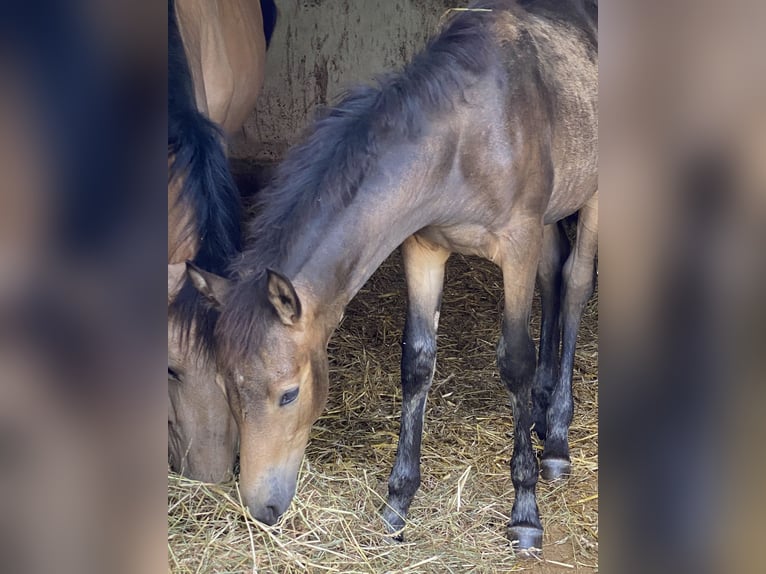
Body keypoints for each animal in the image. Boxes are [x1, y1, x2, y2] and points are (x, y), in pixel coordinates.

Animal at [189, 1, 596, 560]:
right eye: (227, 388)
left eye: (290, 394)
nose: (262, 509)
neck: (465, 139)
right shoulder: (424, 248)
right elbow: (416, 362)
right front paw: (397, 502)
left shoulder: (516, 244)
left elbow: (514, 360)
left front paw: (525, 511)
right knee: (554, 278)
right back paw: (542, 406)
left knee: (574, 283)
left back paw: (555, 437)